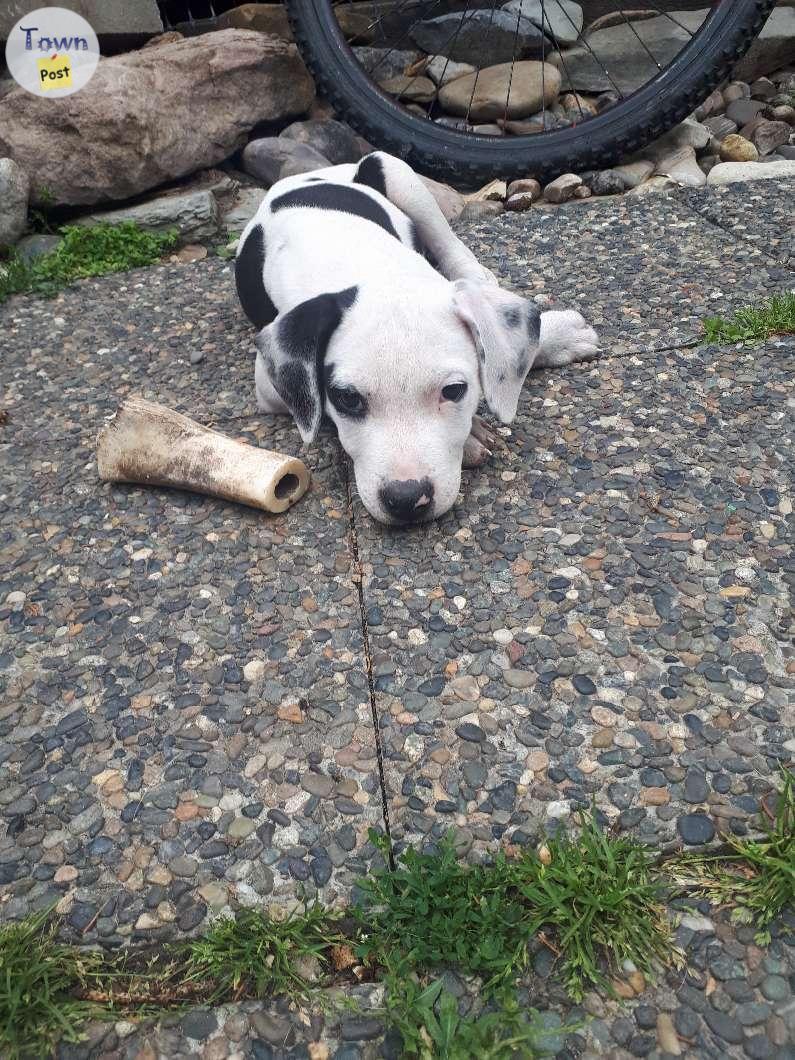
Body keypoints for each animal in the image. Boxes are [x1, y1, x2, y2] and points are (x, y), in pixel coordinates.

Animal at [235, 150, 597, 525]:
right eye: (347, 399)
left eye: (453, 391)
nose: (406, 500)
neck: (371, 269)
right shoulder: (268, 386)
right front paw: (472, 436)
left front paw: (559, 335)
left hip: (398, 173)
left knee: (450, 245)